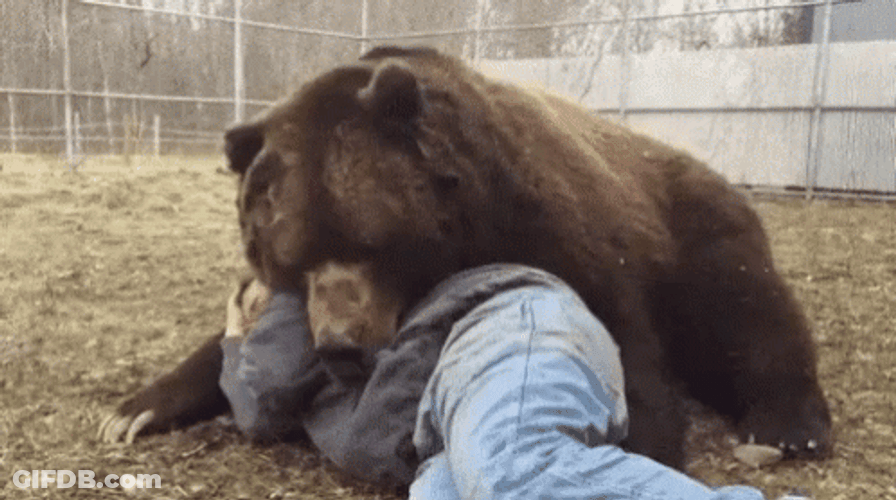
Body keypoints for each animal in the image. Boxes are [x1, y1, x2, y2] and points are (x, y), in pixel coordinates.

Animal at [99, 45, 831, 470]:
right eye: (293, 258)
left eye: (369, 242)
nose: (340, 345)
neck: (462, 231)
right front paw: (131, 410)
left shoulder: (550, 221)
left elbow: (620, 334)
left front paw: (641, 438)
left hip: (695, 225)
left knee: (747, 309)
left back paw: (787, 426)